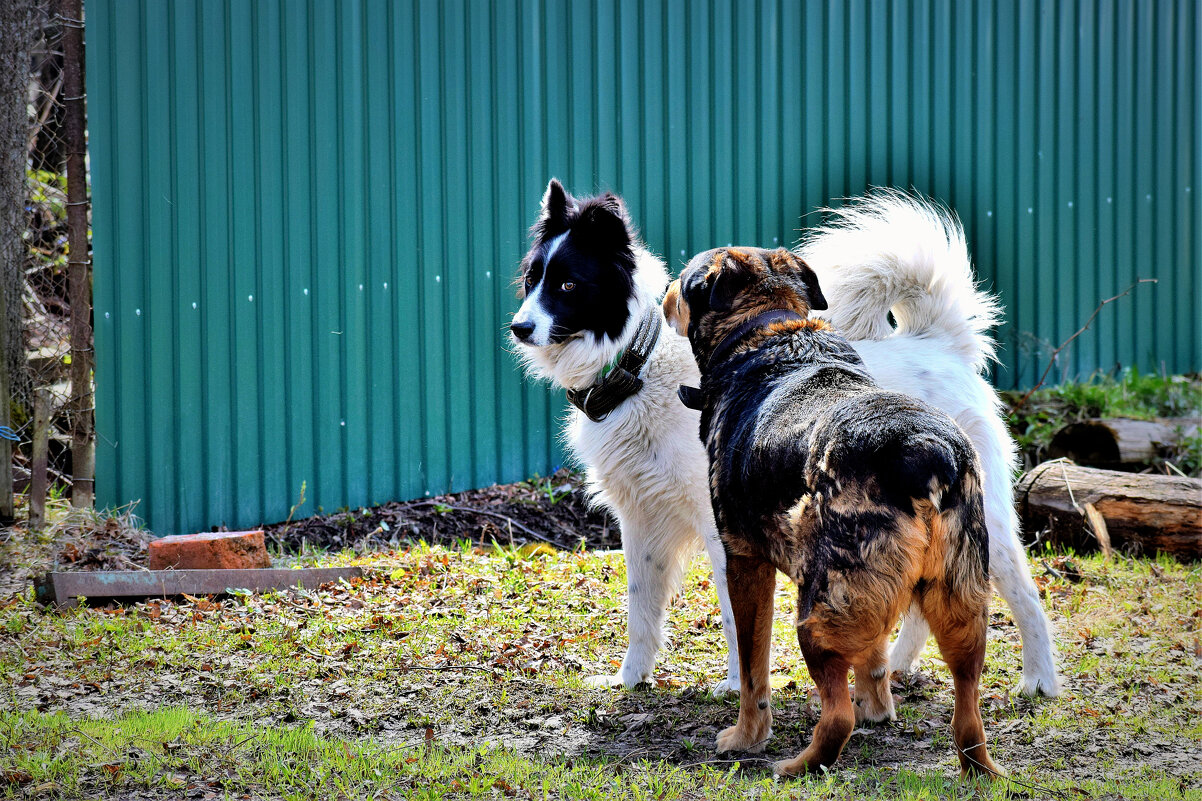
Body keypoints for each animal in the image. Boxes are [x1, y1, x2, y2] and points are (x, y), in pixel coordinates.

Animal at [507, 179, 1062, 692]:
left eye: (569, 286)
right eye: (533, 279)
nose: (518, 327)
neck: (636, 363)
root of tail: (941, 344)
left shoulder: (722, 526)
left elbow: (737, 620)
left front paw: (738, 687)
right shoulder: (641, 518)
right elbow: (641, 611)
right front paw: (630, 680)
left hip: (981, 521)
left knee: (1024, 594)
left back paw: (1040, 679)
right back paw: (899, 666)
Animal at [663, 246, 1000, 774]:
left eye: (683, 280)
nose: (662, 293)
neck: (768, 329)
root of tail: (923, 448)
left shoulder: (744, 563)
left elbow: (753, 673)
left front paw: (746, 738)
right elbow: (874, 662)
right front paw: (878, 712)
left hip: (818, 609)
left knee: (836, 715)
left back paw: (795, 766)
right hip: (960, 604)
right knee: (968, 712)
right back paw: (980, 769)